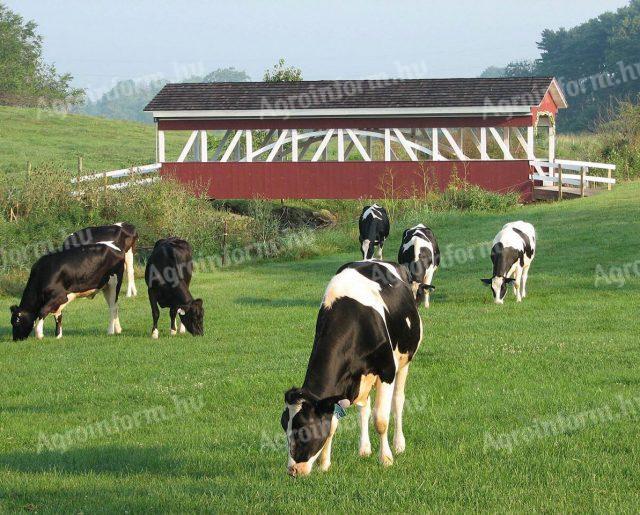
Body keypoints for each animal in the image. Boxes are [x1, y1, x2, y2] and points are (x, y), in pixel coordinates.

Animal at [282, 260, 424, 478]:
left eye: (304, 430)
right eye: (284, 426)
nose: (293, 470)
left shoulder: (387, 371)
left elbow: (381, 420)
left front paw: (386, 459)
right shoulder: (339, 388)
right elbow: (332, 423)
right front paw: (324, 464)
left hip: (404, 361)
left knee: (398, 401)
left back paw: (399, 444)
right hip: (362, 380)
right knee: (364, 408)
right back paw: (364, 449)